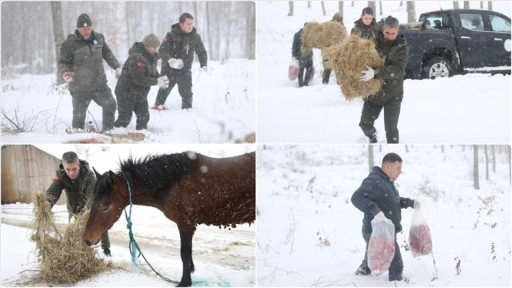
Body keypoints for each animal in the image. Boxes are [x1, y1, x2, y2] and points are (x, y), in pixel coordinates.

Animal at [83, 151, 256, 286]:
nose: (87, 239)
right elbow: (188, 254)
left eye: (105, 205)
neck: (174, 183)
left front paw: (184, 282)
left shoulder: (186, 224)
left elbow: (184, 253)